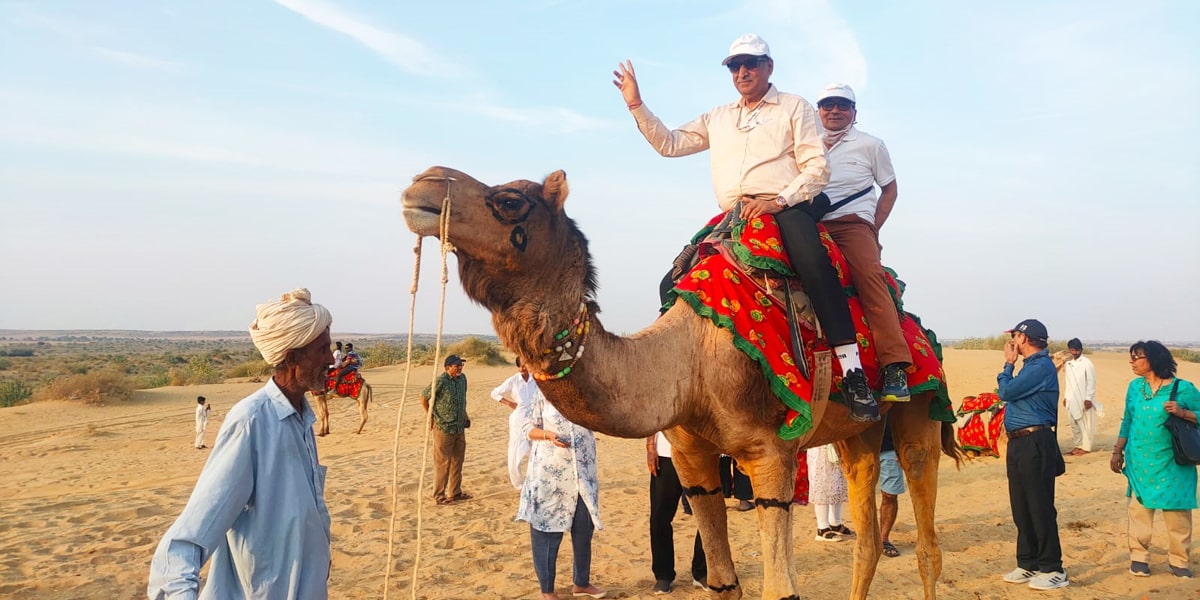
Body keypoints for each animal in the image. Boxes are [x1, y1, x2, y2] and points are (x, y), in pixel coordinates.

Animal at [398, 165, 960, 600]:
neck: (690, 358)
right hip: (855, 434)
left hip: (918, 411)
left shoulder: (771, 455)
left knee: (927, 539)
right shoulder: (692, 458)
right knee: (866, 538)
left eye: (510, 200)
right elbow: (724, 583)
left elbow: (780, 588)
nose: (423, 182)